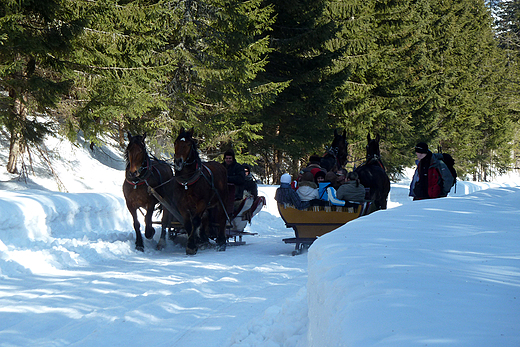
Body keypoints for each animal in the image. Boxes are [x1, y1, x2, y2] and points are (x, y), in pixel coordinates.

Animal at [174, 128, 229, 256]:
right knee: (206, 218)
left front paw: (191, 246)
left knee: (222, 218)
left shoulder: (201, 203)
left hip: (222, 200)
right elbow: (188, 224)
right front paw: (193, 244)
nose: (178, 162)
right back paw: (204, 238)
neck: (187, 182)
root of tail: (221, 166)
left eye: (189, 144)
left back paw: (221, 242)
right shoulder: (181, 205)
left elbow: (195, 221)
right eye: (175, 143)